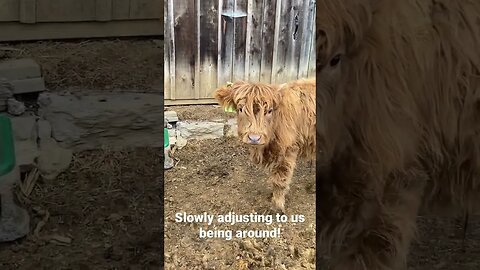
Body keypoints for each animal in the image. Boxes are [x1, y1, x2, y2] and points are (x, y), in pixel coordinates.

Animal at [214, 79, 316, 212]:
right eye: (240, 109)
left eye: (269, 111)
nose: (254, 138)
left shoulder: (288, 151)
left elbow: (279, 180)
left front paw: (277, 206)